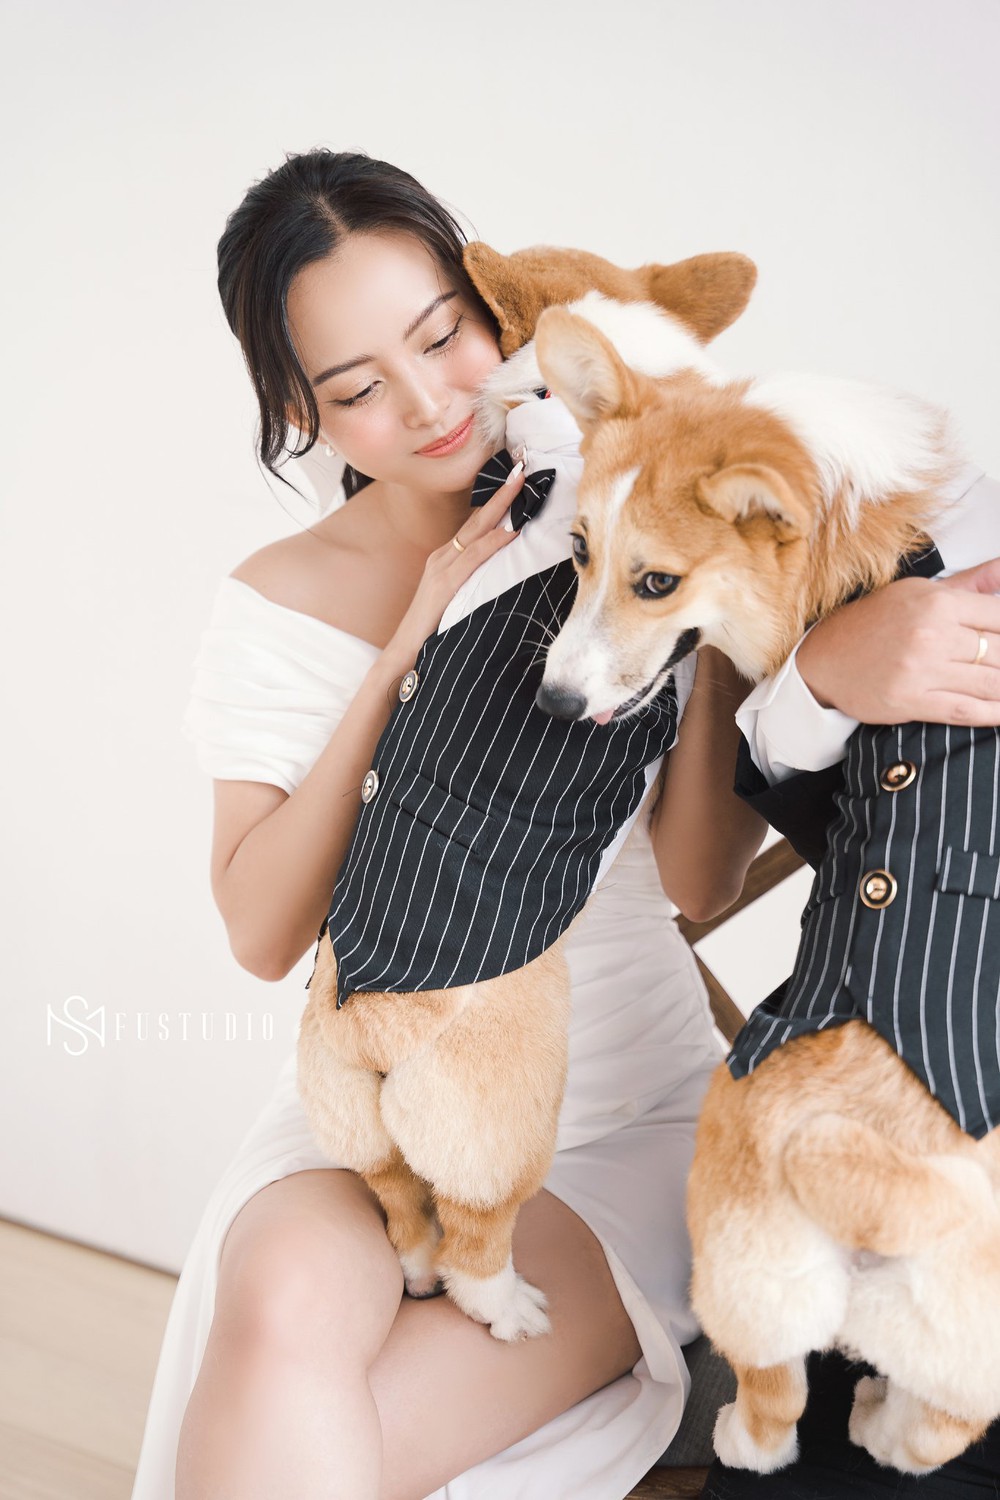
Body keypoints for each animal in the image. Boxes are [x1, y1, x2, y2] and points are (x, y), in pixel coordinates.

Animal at [296, 240, 758, 1344]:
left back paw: (416, 1264)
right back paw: (503, 1305)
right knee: (474, 1224)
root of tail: (366, 1013)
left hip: (346, 1118)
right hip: (502, 1118)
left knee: (397, 1201)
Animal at [530, 307, 1000, 1476]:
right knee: (931, 1420)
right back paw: (871, 1420)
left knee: (786, 1395)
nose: (550, 705)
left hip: (737, 1256)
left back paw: (750, 1437)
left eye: (657, 583)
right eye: (578, 550)